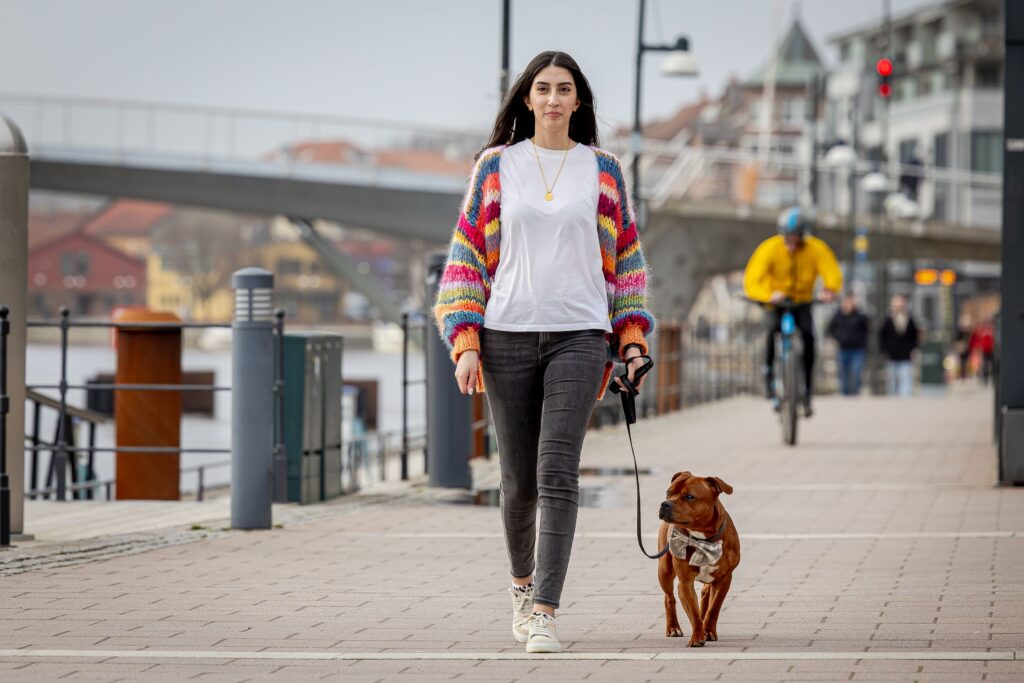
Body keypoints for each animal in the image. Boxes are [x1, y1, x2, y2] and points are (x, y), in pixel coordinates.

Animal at [659, 473, 741, 651]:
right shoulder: (685, 583)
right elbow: (694, 614)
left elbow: (713, 608)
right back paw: (673, 628)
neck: (702, 539)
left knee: (705, 595)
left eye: (690, 496)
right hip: (664, 570)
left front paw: (708, 631)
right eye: (668, 493)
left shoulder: (724, 579)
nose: (665, 504)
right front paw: (697, 637)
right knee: (669, 598)